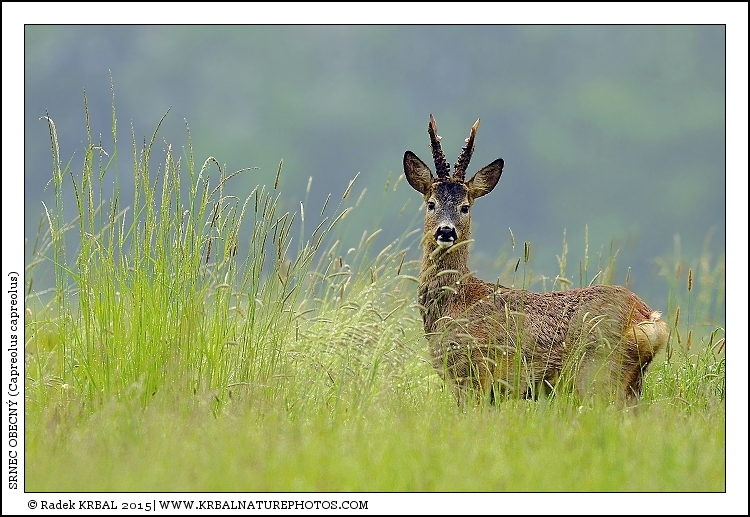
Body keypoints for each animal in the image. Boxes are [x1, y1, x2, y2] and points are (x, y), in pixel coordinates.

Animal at [404, 114, 669, 406]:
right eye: (431, 203)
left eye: (465, 207)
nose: (446, 231)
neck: (454, 304)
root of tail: (648, 319)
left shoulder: (473, 376)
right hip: (630, 383)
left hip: (599, 373)